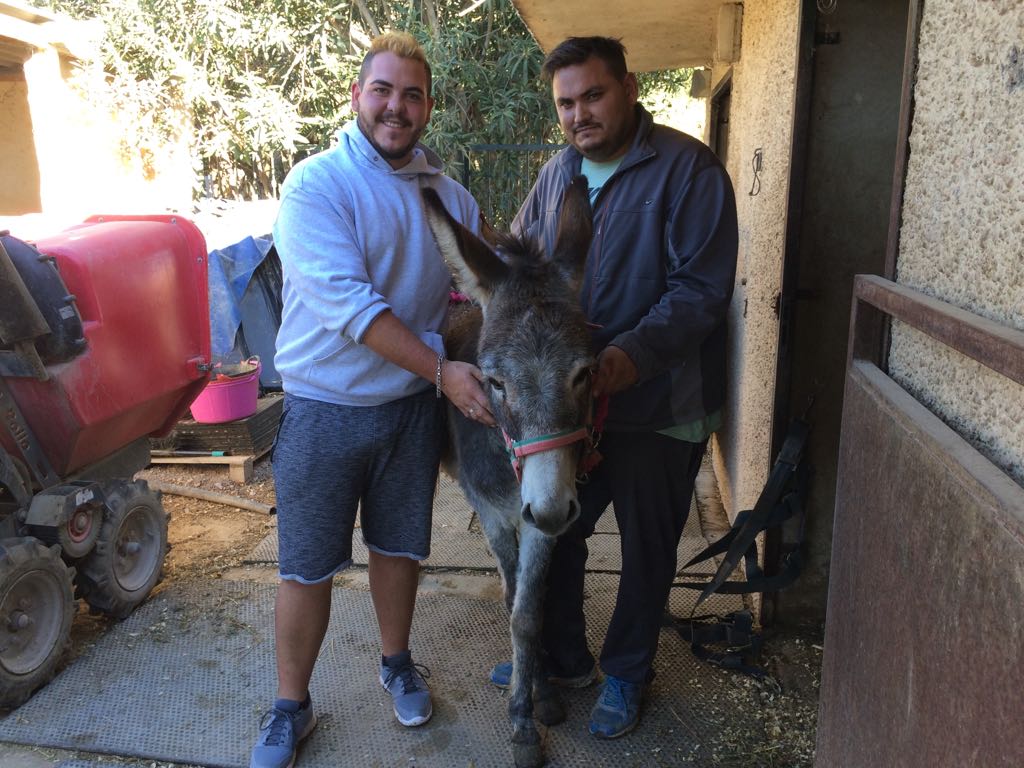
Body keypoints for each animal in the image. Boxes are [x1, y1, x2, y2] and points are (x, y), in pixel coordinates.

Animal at [422, 177, 595, 768]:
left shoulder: (545, 516)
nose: (550, 508)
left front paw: (538, 697)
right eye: (495, 382)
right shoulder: (501, 513)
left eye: (584, 374)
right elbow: (512, 596)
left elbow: (529, 611)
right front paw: (523, 721)